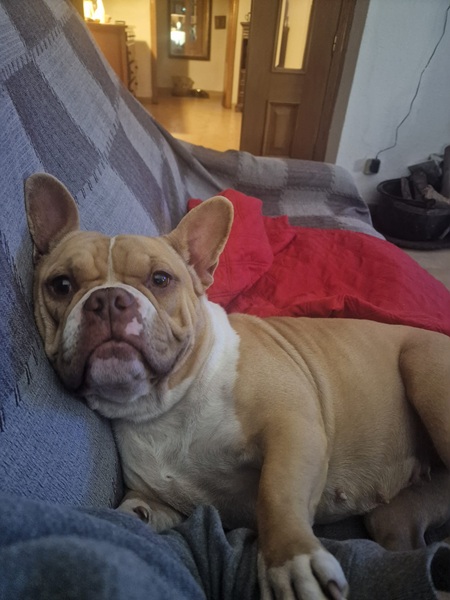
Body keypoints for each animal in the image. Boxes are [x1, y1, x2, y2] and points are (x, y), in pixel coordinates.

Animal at [25, 173, 450, 600]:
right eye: (61, 285)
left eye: (160, 280)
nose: (109, 299)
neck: (168, 405)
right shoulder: (159, 503)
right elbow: (138, 511)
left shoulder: (293, 429)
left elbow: (276, 492)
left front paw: (292, 560)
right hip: (393, 517)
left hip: (424, 371)